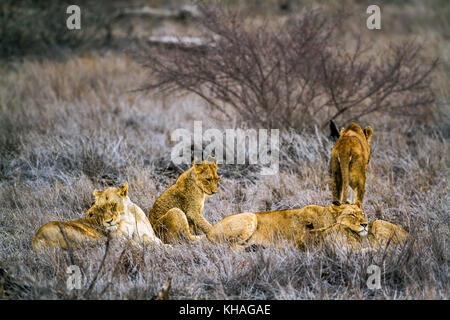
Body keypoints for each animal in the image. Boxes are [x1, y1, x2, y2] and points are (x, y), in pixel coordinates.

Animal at [206, 202, 364, 250]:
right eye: (352, 215)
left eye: (363, 214)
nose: (366, 224)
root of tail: (208, 232)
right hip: (250, 216)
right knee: (230, 248)